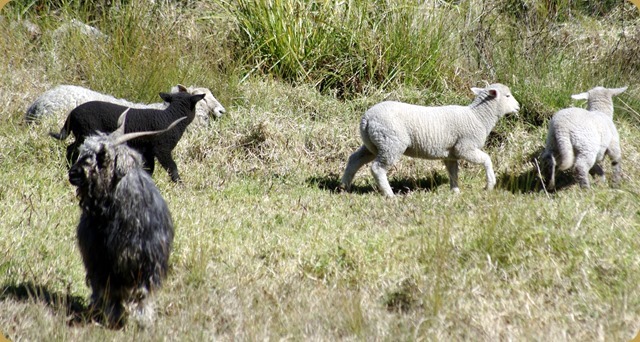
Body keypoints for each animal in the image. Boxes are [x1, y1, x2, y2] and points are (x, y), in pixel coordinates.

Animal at [50, 91, 205, 182]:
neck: (172, 117)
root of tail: (72, 114)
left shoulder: (148, 151)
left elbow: (149, 169)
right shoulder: (162, 149)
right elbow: (172, 167)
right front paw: (180, 184)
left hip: (81, 134)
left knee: (71, 148)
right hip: (86, 132)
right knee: (73, 150)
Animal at [71, 110, 184, 328]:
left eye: (102, 155)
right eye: (84, 150)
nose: (73, 173)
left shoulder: (144, 260)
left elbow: (141, 293)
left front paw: (142, 319)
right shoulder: (100, 259)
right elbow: (109, 291)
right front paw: (112, 316)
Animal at [340, 82, 520, 198]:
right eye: (507, 95)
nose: (518, 107)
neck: (478, 116)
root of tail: (366, 118)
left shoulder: (451, 154)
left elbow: (453, 172)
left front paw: (455, 191)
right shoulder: (465, 147)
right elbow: (487, 160)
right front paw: (490, 184)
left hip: (374, 143)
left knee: (355, 159)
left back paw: (344, 186)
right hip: (391, 143)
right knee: (377, 168)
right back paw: (390, 195)